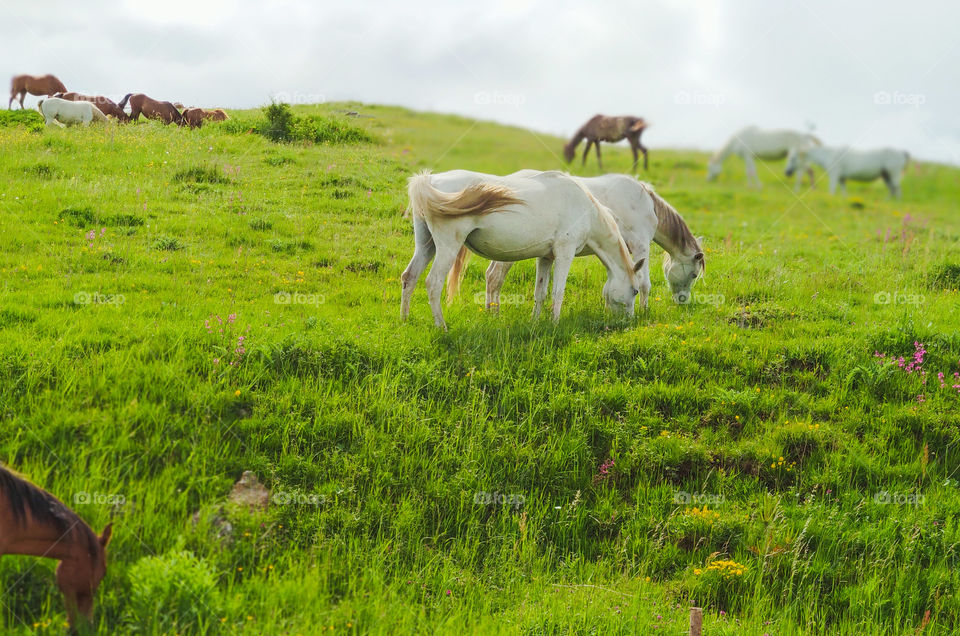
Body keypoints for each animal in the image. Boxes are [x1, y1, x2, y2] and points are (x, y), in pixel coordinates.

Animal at [402, 169, 640, 328]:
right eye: (635, 291)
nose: (628, 321)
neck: (584, 207)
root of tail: (430, 180)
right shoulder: (565, 253)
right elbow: (558, 291)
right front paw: (555, 324)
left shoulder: (546, 258)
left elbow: (540, 292)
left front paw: (535, 321)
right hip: (448, 247)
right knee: (433, 283)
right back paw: (442, 327)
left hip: (426, 247)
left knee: (409, 277)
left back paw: (404, 319)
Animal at [444, 170, 704, 312]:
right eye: (693, 274)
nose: (683, 301)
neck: (645, 202)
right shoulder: (641, 245)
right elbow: (645, 284)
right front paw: (644, 312)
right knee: (495, 278)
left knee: (491, 277)